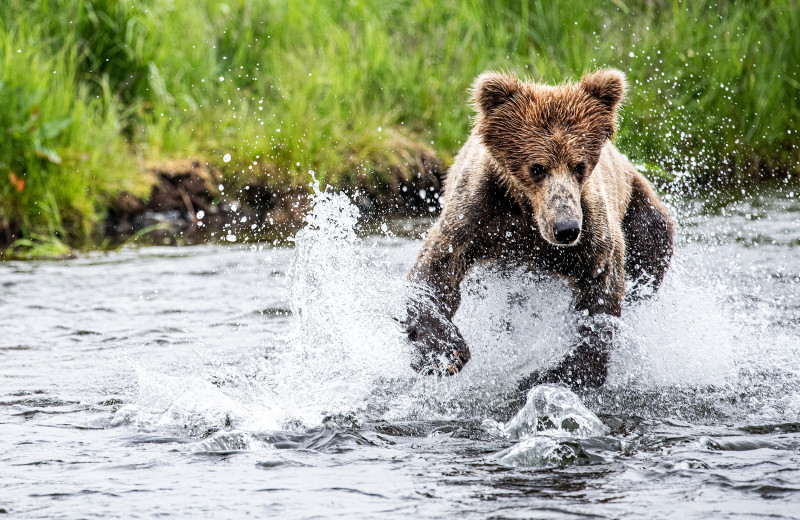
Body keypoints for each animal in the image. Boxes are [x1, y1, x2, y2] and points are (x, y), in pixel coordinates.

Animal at [404, 68, 672, 386]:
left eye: (579, 165)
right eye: (537, 167)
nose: (566, 228)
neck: (527, 215)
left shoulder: (593, 230)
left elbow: (601, 293)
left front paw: (563, 372)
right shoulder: (478, 212)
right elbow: (438, 267)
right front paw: (445, 352)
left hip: (639, 206)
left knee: (652, 243)